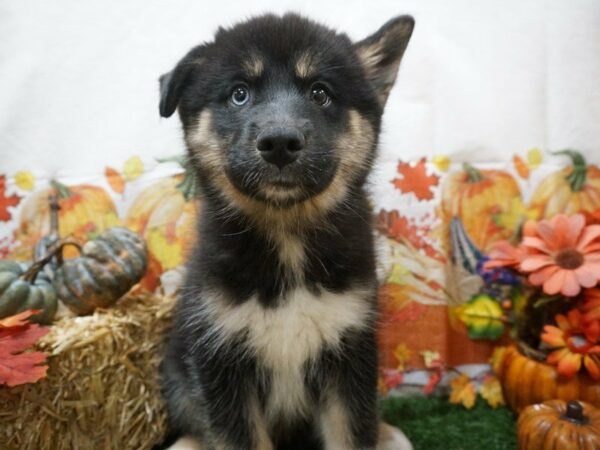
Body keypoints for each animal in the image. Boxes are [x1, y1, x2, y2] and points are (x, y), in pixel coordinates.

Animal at [157, 13, 414, 450]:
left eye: (320, 92)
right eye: (239, 94)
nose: (279, 142)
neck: (286, 234)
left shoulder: (350, 352)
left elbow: (354, 433)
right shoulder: (221, 364)